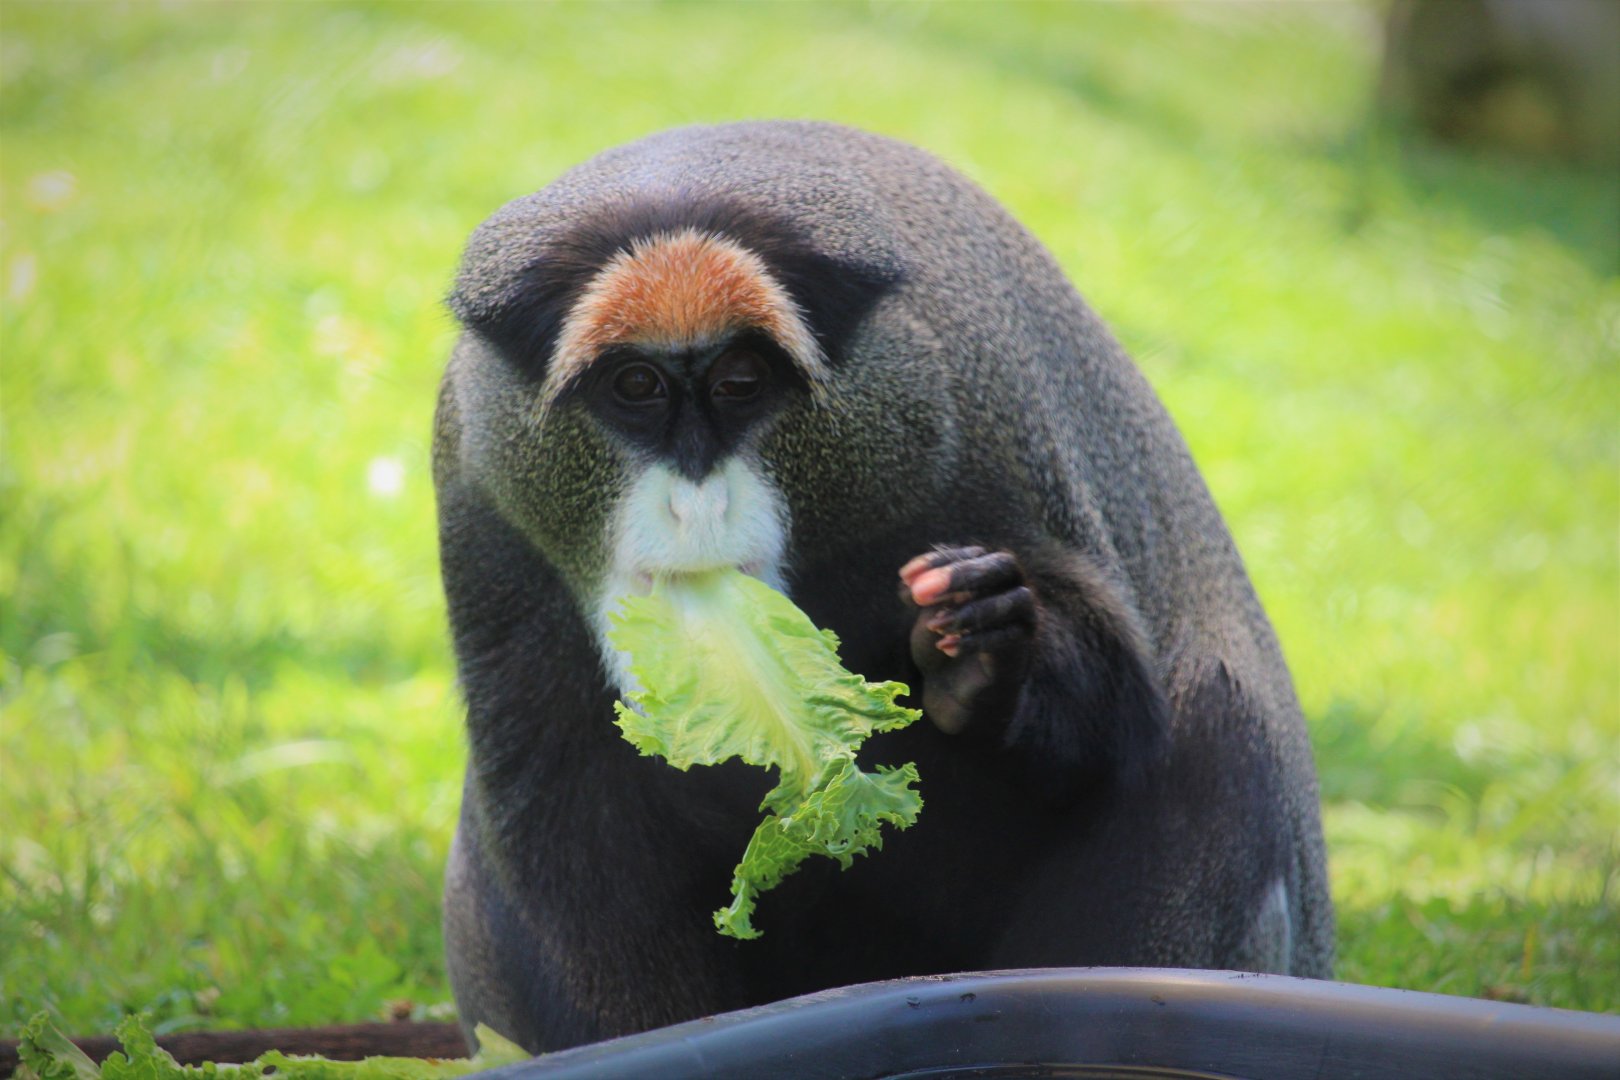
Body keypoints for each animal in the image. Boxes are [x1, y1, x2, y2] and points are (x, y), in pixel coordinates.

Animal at [433, 120, 1334, 1054]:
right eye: (636, 386)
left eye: (740, 383)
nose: (696, 504)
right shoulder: (479, 500)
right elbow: (572, 827)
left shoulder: (975, 418)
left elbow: (1108, 725)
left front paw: (986, 654)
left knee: (1217, 738)